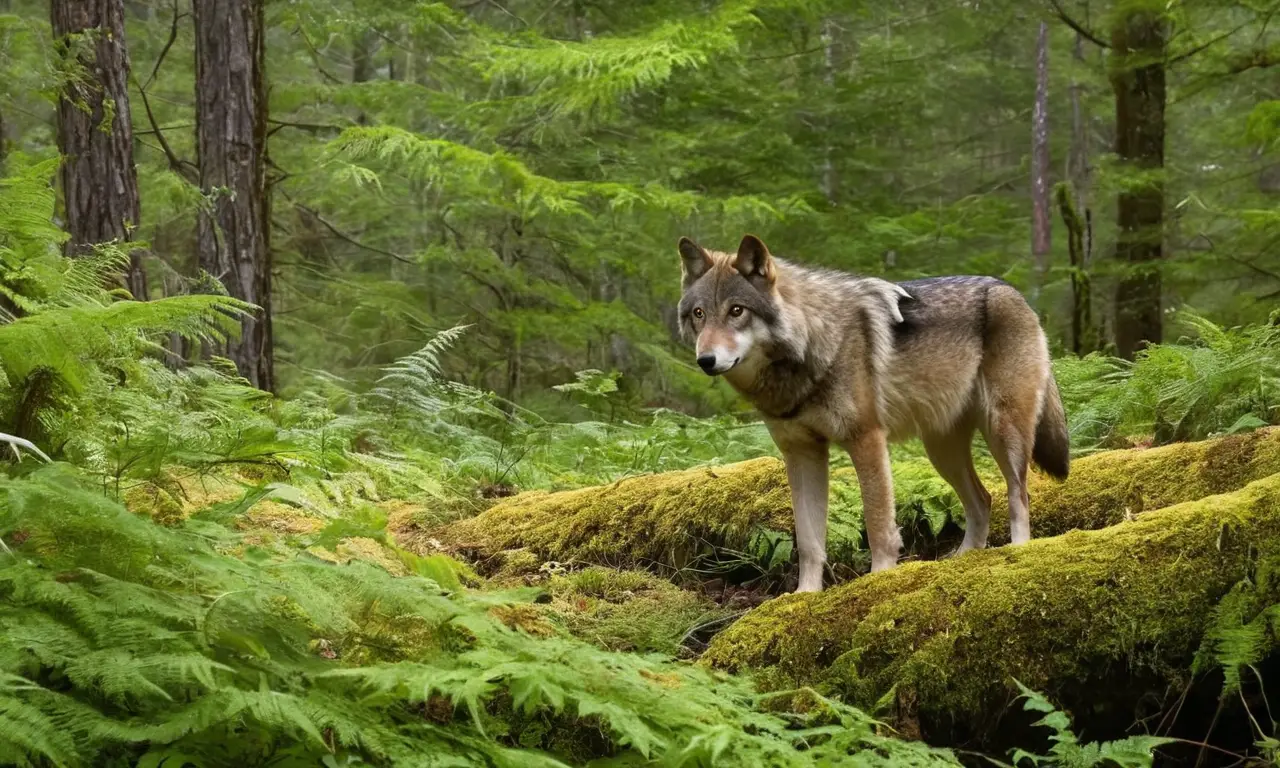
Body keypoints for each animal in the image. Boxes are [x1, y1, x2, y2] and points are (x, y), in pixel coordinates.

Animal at [676, 234, 1069, 592]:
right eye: (699, 314)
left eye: (737, 311)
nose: (706, 360)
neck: (810, 347)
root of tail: (1011, 291)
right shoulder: (802, 455)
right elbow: (809, 541)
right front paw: (804, 597)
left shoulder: (866, 440)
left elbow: (878, 525)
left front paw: (880, 581)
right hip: (941, 451)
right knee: (983, 500)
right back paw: (962, 561)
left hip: (1004, 431)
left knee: (1018, 495)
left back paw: (1018, 554)